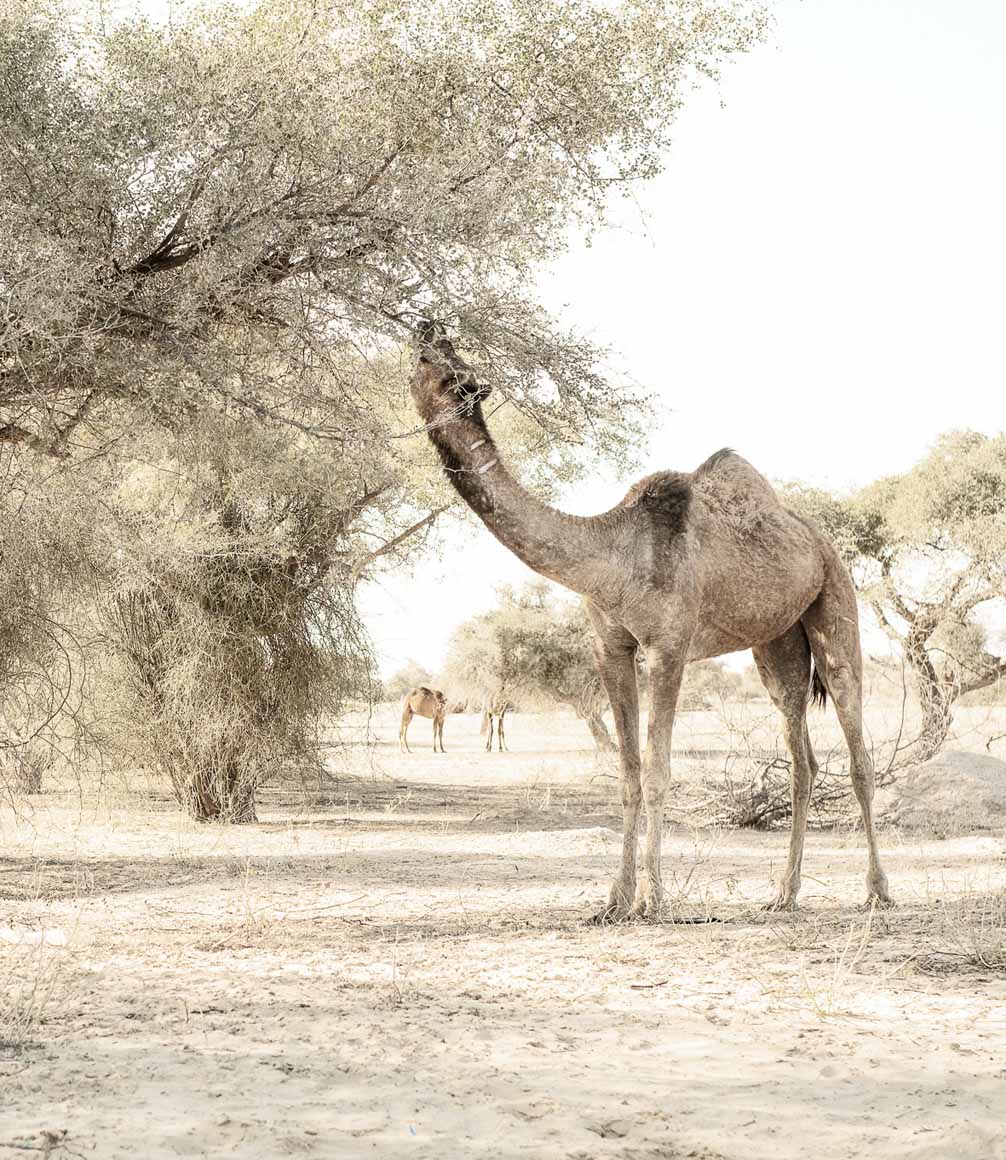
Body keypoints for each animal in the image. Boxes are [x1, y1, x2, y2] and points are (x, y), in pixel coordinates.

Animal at [411, 323, 892, 922]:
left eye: (450, 368)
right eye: (433, 358)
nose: (425, 330)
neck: (609, 553)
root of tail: (818, 540)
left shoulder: (669, 644)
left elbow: (659, 770)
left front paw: (652, 898)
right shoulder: (610, 647)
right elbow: (629, 773)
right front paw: (613, 900)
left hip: (834, 602)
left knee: (857, 749)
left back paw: (877, 889)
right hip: (777, 643)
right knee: (801, 756)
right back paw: (784, 892)